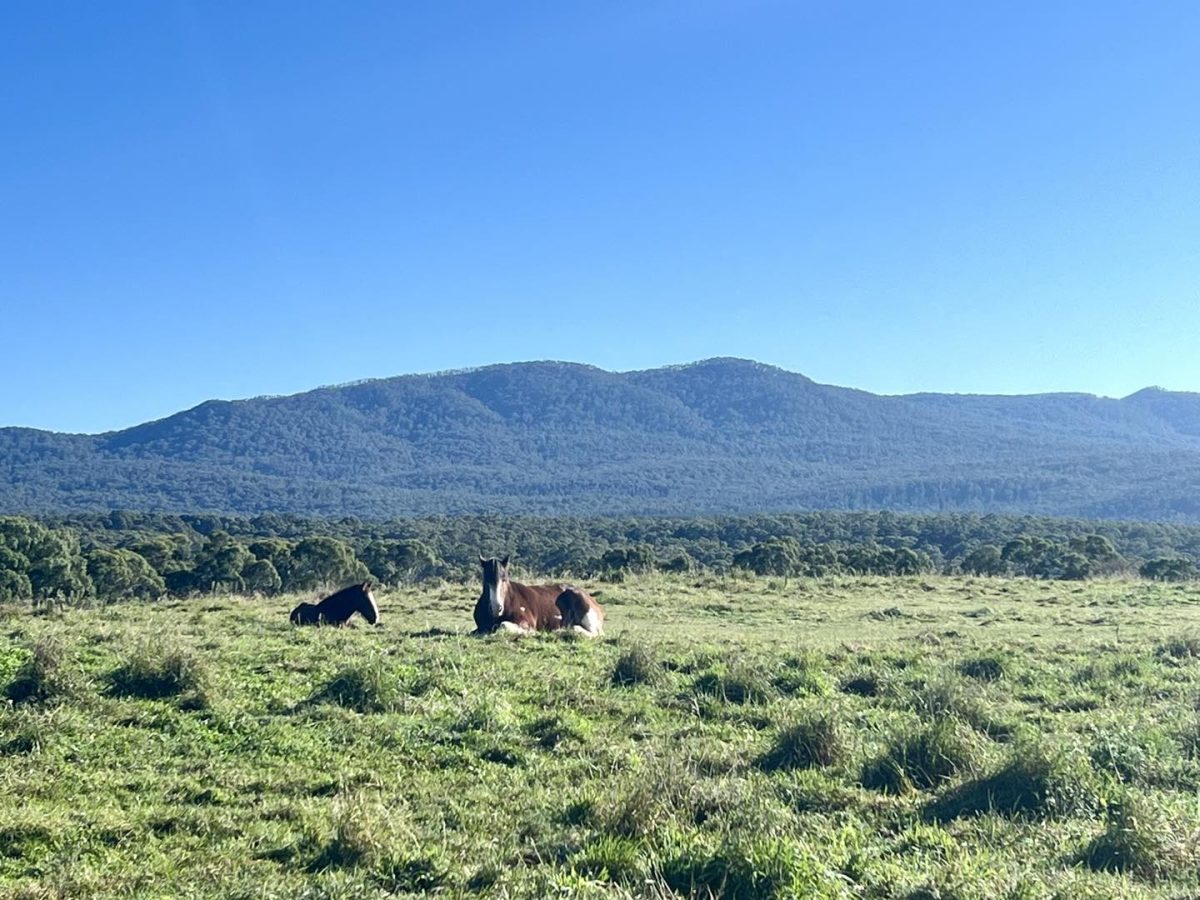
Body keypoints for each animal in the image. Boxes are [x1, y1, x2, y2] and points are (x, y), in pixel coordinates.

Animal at [472, 554, 604, 638]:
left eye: (504, 579)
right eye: (486, 580)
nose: (496, 608)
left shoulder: (525, 623)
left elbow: (503, 625)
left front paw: (532, 633)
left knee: (594, 633)